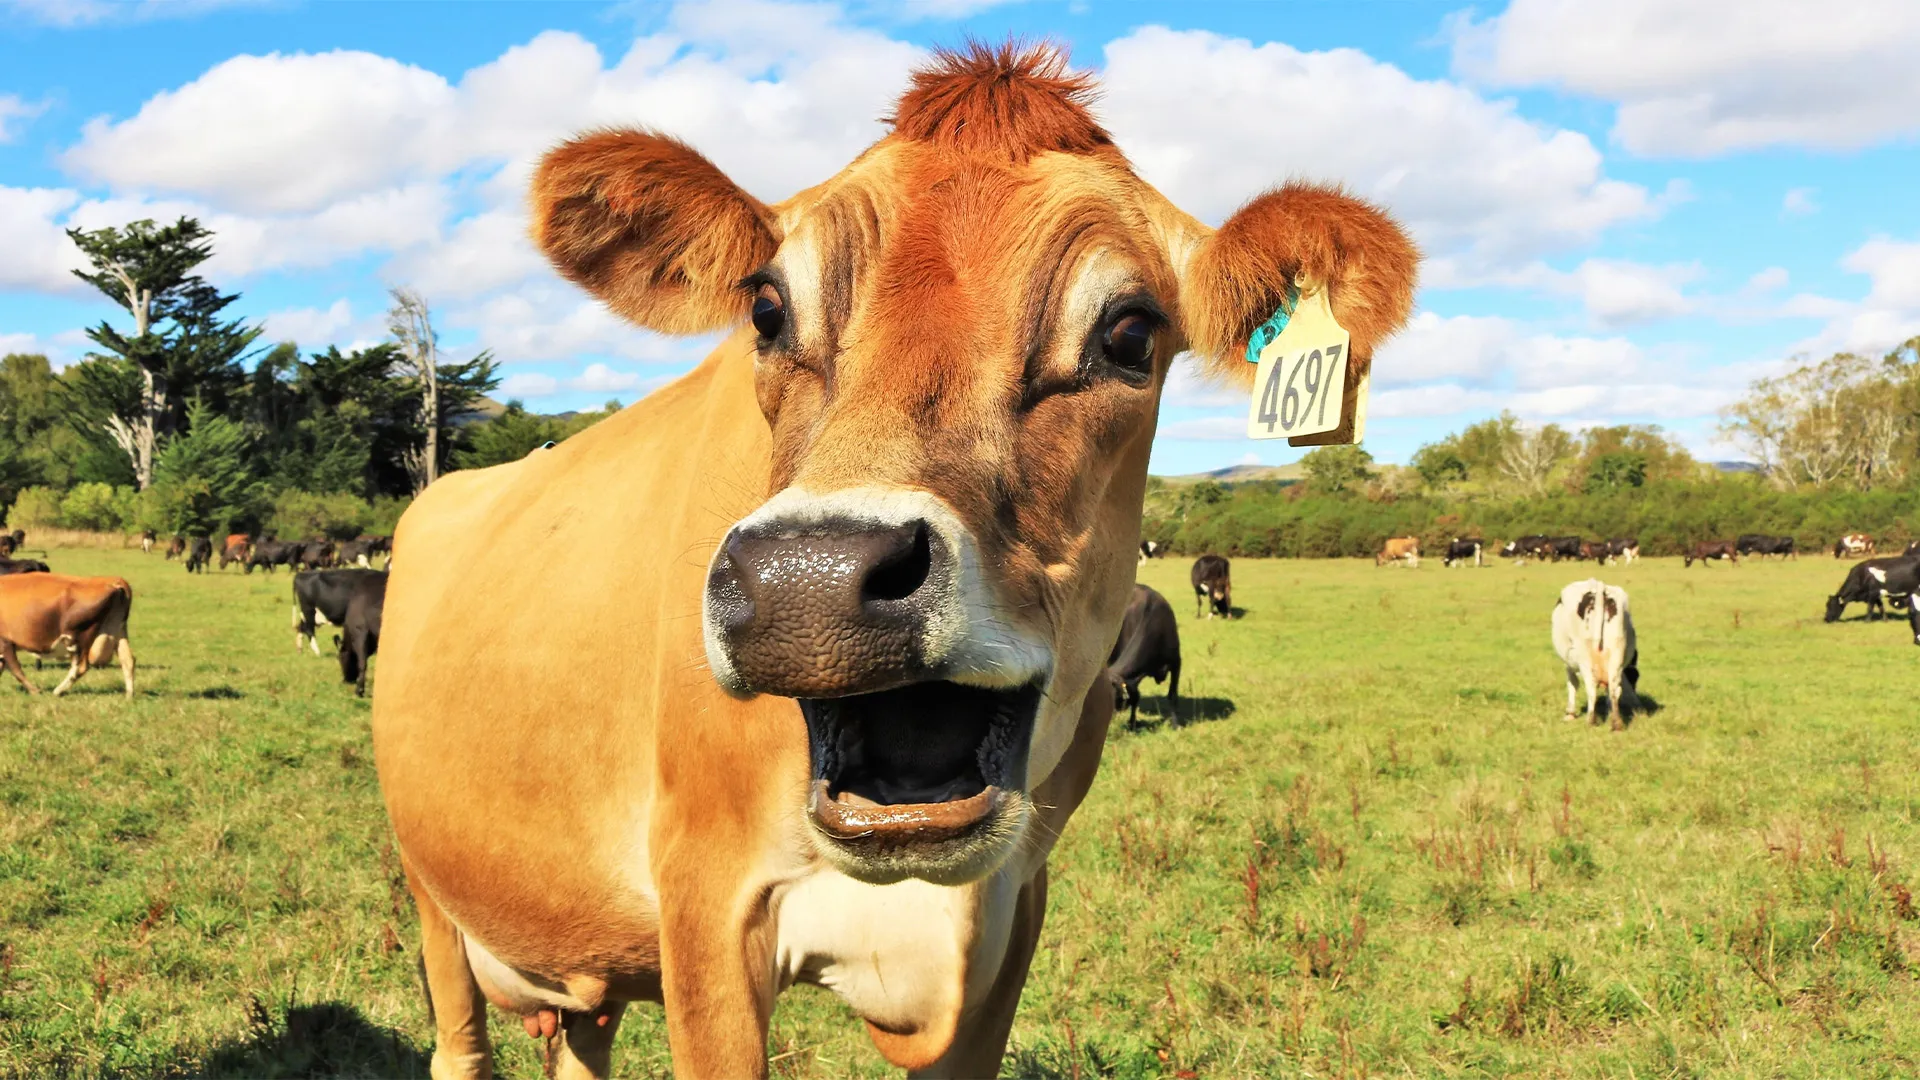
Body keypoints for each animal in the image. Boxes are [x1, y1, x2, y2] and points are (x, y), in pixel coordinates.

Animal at [0, 573, 135, 697]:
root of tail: (111, 580)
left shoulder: (5, 641)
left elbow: (16, 669)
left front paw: (35, 691)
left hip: (77, 636)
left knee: (81, 667)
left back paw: (58, 690)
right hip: (118, 630)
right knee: (128, 660)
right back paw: (129, 696)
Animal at [1105, 584, 1179, 726]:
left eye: (1114, 697)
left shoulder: (1176, 662)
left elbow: (1172, 695)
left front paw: (1175, 724)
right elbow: (1135, 696)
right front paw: (1132, 723)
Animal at [1550, 578, 1638, 731]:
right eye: (1633, 679)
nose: (1636, 704)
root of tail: (1599, 587)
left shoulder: (1568, 663)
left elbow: (1572, 684)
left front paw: (1570, 714)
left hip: (1584, 657)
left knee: (1591, 688)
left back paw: (1590, 721)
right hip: (1616, 652)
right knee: (1614, 689)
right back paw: (1616, 724)